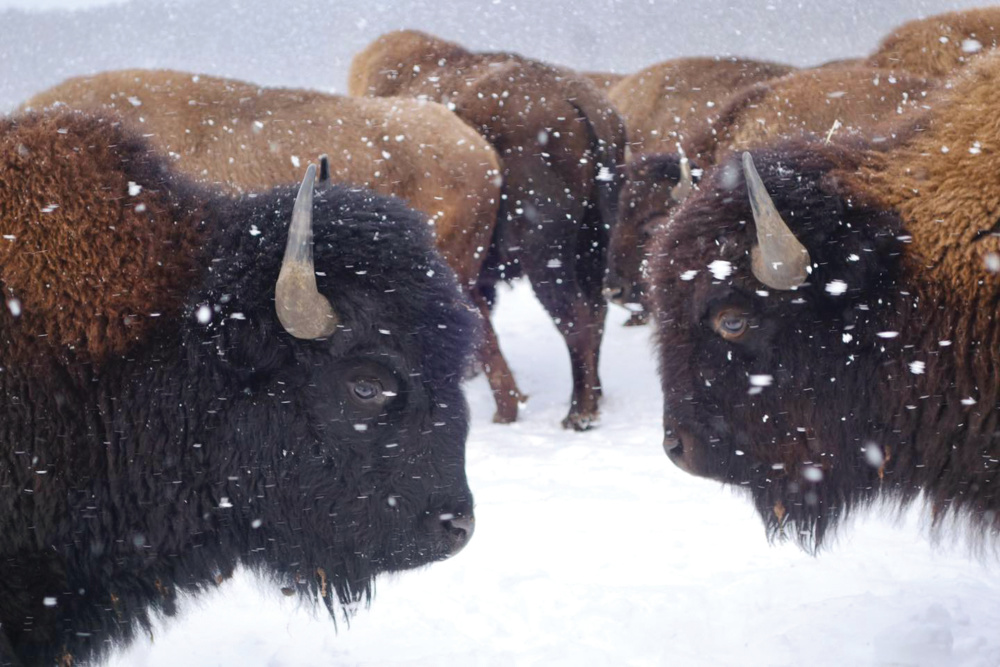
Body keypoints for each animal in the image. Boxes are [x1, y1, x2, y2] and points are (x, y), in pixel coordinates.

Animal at [350, 30, 627, 430]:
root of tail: (580, 102)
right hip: (594, 245)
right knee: (596, 311)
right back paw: (594, 399)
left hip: (546, 259)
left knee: (575, 318)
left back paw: (578, 413)